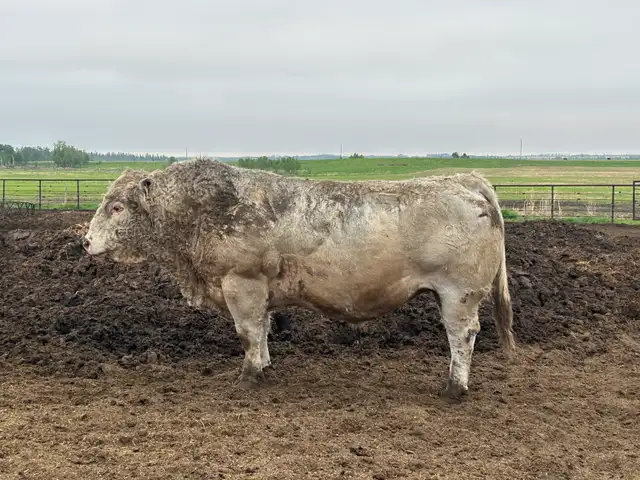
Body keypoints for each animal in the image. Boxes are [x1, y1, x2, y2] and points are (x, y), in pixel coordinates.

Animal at [83, 158, 515, 400]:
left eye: (116, 206)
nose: (85, 241)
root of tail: (464, 179)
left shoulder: (241, 283)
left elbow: (247, 333)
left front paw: (248, 377)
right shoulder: (260, 292)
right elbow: (263, 330)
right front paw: (265, 366)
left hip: (459, 294)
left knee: (462, 337)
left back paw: (454, 388)